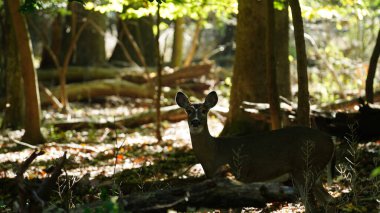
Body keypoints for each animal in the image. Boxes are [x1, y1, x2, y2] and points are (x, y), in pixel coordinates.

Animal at [176, 91, 336, 213]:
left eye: (204, 110)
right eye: (188, 111)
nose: (195, 122)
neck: (216, 154)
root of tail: (330, 139)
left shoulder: (240, 176)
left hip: (305, 167)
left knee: (313, 205)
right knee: (327, 199)